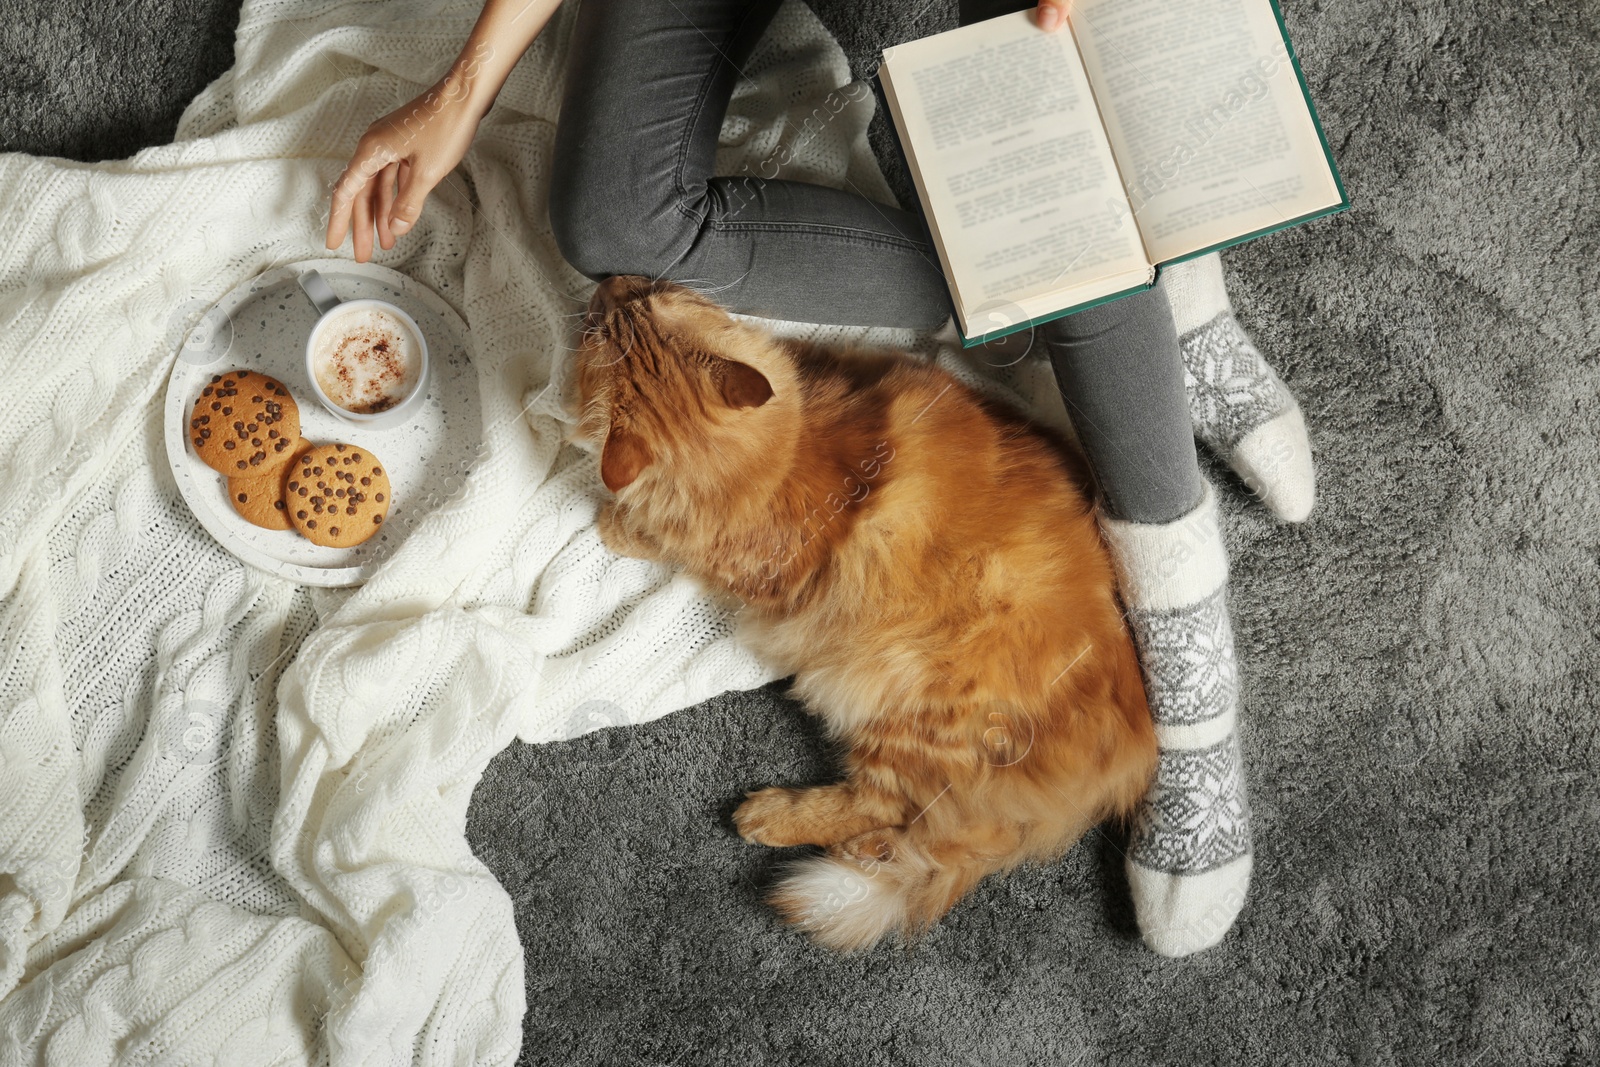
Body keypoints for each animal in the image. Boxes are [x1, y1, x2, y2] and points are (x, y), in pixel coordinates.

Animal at [569, 275, 1158, 953]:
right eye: (616, 315)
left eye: (634, 308)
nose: (610, 283)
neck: (784, 454)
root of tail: (1135, 754)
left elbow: (656, 534)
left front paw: (615, 524)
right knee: (925, 830)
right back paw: (864, 848)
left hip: (904, 718)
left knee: (887, 809)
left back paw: (768, 817)